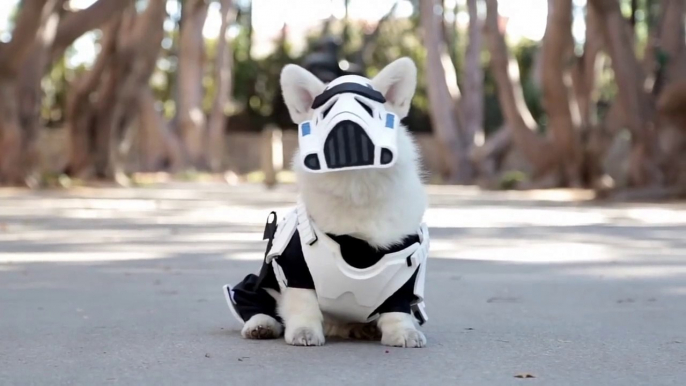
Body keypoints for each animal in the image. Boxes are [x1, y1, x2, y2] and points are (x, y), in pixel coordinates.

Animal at [224, 56, 430, 346]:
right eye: (325, 112)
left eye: (368, 108)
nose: (346, 128)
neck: (355, 187)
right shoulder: (296, 268)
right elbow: (304, 304)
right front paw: (304, 332)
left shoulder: (404, 275)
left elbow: (397, 309)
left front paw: (403, 333)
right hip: (257, 284)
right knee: (256, 303)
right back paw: (261, 325)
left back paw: (362, 328)